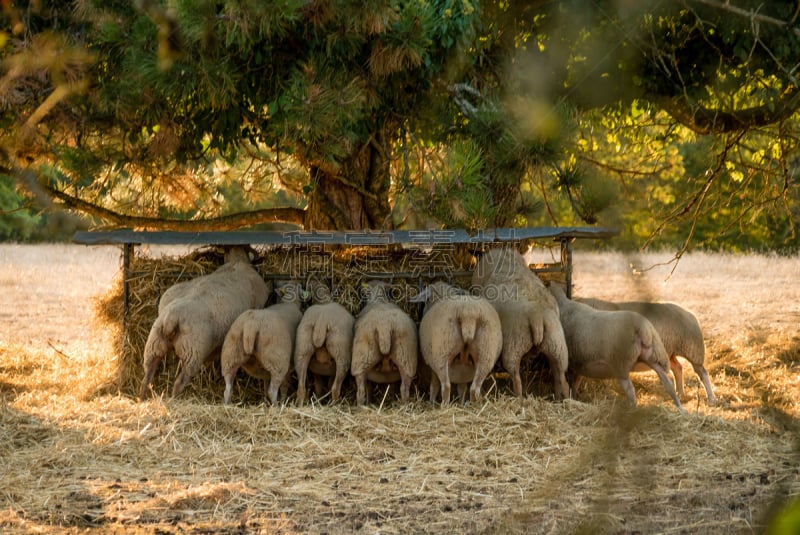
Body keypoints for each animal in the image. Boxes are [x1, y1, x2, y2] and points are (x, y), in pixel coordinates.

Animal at [141, 247, 272, 398]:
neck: (237, 261)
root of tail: (171, 319)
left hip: (153, 345)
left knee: (146, 377)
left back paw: (142, 397)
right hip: (192, 353)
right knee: (179, 383)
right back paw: (174, 399)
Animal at [472, 249, 572, 400]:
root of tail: (538, 318)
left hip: (514, 346)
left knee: (516, 378)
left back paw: (517, 398)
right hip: (557, 346)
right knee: (560, 375)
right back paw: (562, 398)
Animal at [552, 284, 688, 414]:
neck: (564, 304)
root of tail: (643, 330)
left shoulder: (572, 363)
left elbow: (570, 383)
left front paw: (570, 399)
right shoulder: (579, 364)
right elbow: (575, 383)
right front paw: (574, 398)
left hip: (620, 363)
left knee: (630, 390)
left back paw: (632, 410)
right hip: (653, 356)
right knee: (668, 382)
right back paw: (681, 409)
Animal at [580, 296, 716, 404]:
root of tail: (690, 314)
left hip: (693, 350)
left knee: (703, 373)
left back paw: (711, 399)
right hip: (668, 352)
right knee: (677, 368)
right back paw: (681, 394)